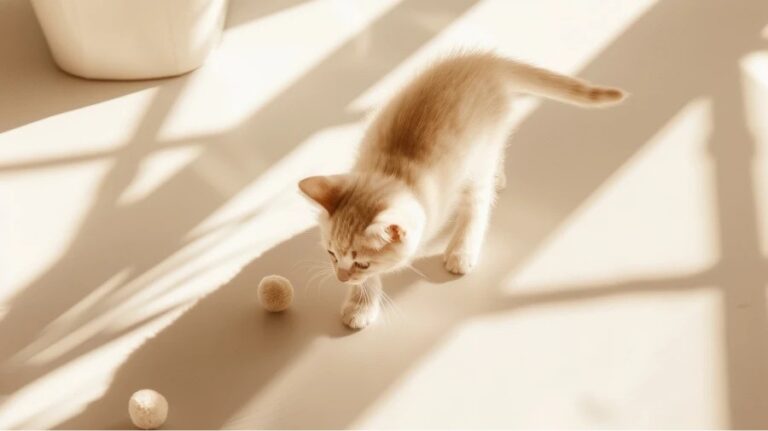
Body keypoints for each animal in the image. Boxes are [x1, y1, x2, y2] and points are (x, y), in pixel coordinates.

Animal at [296, 52, 628, 330]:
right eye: (331, 253)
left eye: (362, 262)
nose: (339, 277)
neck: (396, 172)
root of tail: (484, 61)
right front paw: (360, 303)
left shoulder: (465, 177)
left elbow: (475, 210)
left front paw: (460, 251)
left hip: (483, 147)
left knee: (485, 185)